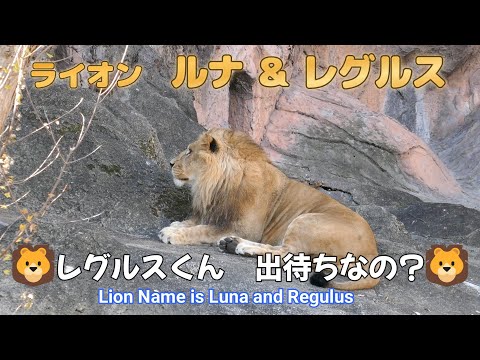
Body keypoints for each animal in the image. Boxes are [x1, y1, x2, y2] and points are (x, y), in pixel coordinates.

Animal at [159, 128, 380, 292]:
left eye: (189, 151)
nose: (170, 163)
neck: (214, 186)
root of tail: (373, 251)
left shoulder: (242, 227)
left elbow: (202, 230)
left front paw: (172, 233)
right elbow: (195, 222)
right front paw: (177, 225)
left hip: (305, 220)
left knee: (286, 253)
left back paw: (242, 247)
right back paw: (232, 244)